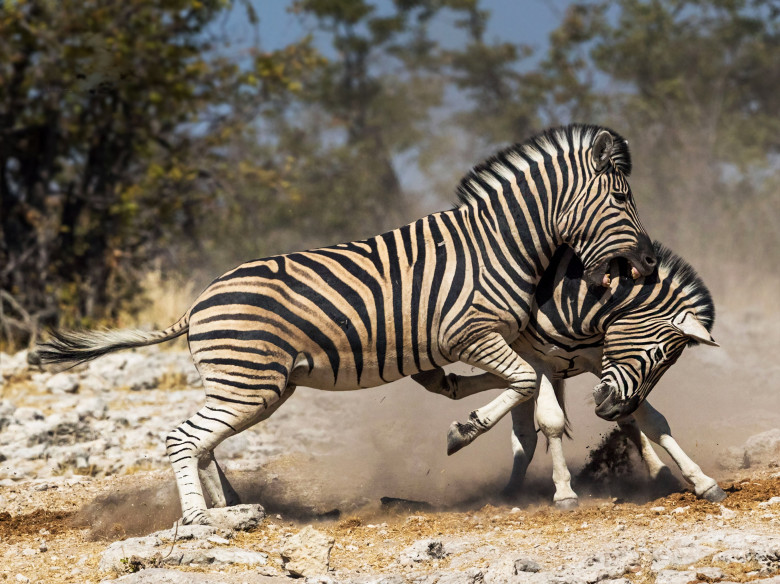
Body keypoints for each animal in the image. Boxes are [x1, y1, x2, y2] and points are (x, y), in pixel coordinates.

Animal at [30, 123, 656, 524]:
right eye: (622, 198)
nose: (649, 262)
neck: (497, 243)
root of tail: (199, 301)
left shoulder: (472, 343)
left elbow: (503, 383)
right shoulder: (468, 332)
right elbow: (521, 381)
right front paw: (463, 431)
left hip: (258, 387)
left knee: (203, 441)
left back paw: (230, 507)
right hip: (248, 385)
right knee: (184, 437)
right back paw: (198, 523)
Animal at [412, 242, 724, 506]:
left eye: (667, 364)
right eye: (659, 355)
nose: (611, 409)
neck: (583, 304)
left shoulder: (600, 359)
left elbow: (651, 421)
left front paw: (700, 481)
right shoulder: (539, 361)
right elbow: (551, 421)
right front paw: (564, 492)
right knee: (524, 430)